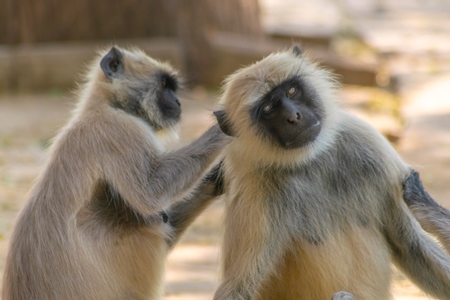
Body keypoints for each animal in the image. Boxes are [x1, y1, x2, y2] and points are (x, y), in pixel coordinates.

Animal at [1, 47, 229, 300]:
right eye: (163, 85)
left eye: (172, 88)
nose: (178, 102)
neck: (107, 106)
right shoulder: (117, 129)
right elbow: (151, 192)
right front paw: (226, 126)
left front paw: (217, 178)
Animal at [213, 45, 450, 300]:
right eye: (268, 108)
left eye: (292, 90)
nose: (293, 117)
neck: (310, 160)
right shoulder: (255, 191)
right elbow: (239, 287)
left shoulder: (370, 145)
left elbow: (410, 244)